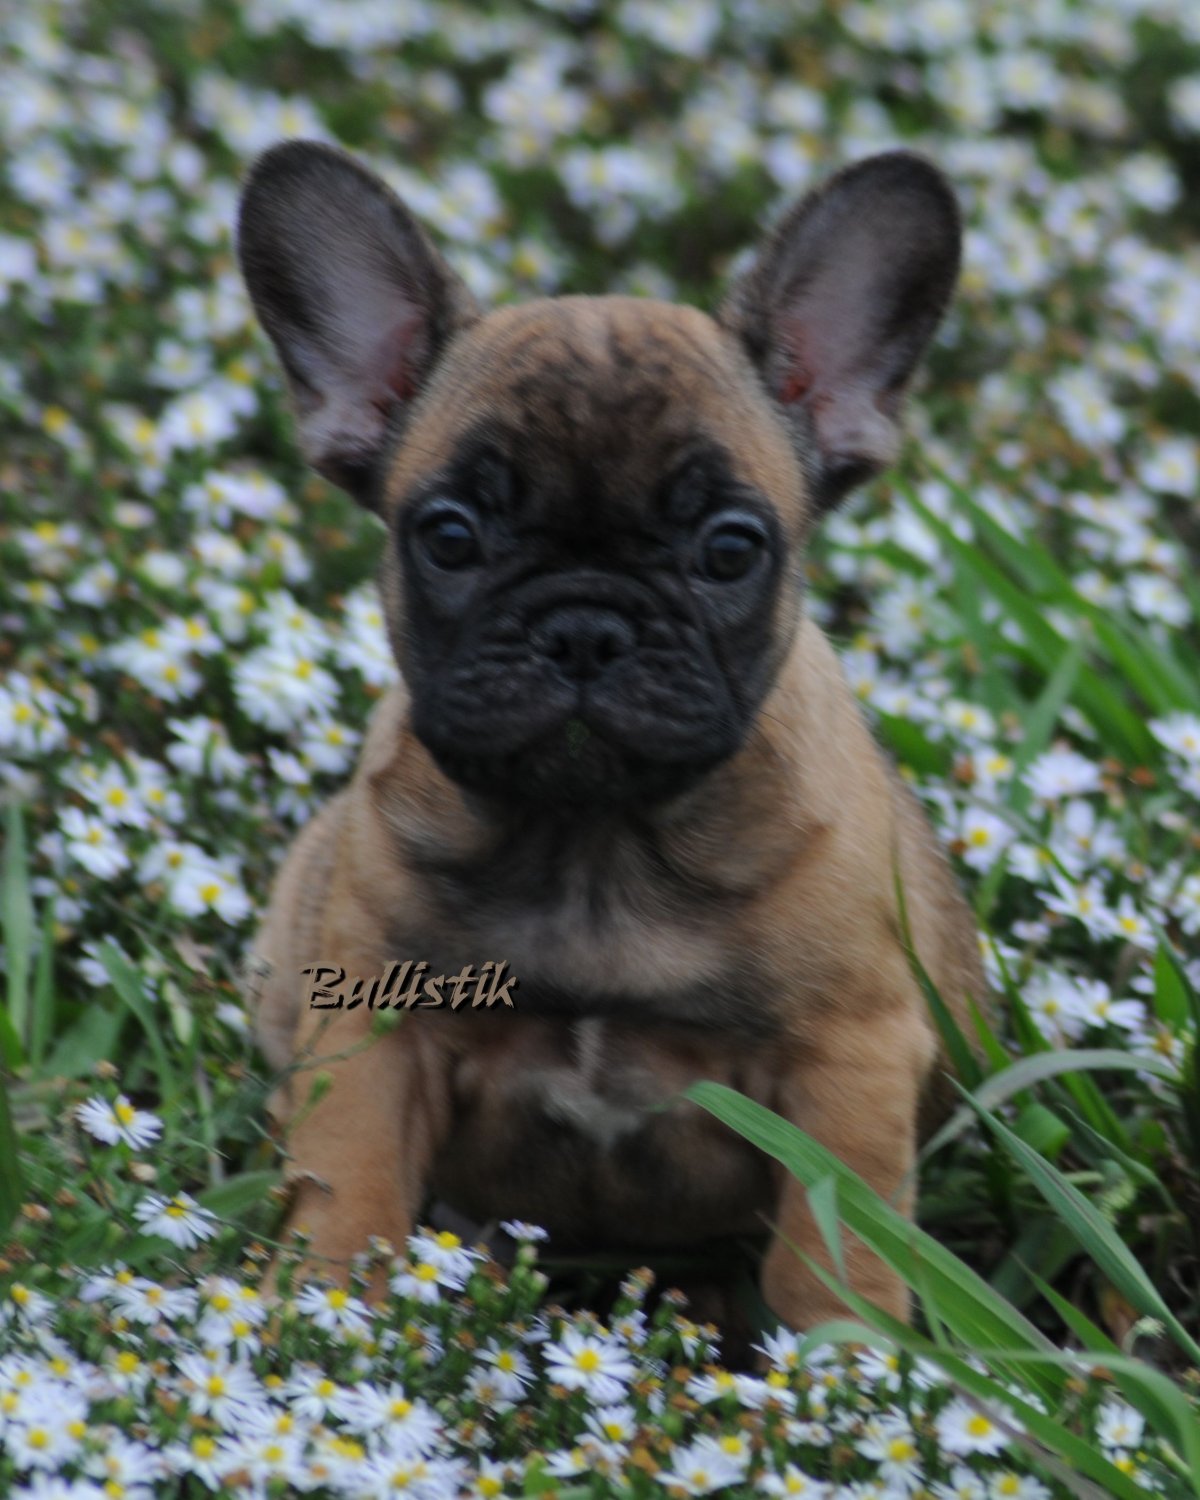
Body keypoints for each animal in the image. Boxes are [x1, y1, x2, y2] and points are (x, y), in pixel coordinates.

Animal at [237, 141, 984, 1332]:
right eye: (450, 537)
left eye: (731, 549)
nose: (583, 627)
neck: (595, 844)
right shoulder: (371, 1028)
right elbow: (349, 1178)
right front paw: (326, 1313)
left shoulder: (849, 1059)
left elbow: (832, 1246)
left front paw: (844, 1363)